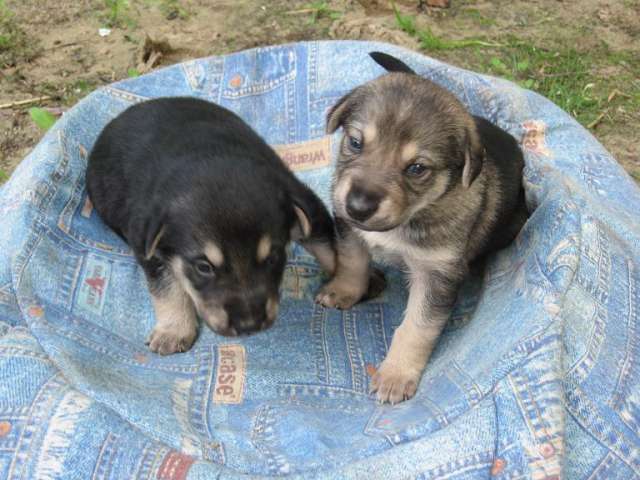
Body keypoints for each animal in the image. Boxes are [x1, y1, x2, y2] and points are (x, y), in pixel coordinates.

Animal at [88, 96, 338, 352]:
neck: (212, 161)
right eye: (203, 267)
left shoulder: (306, 204)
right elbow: (168, 287)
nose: (249, 325)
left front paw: (342, 286)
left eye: (272, 258)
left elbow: (328, 247)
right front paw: (173, 332)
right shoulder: (146, 242)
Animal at [316, 52, 528, 404]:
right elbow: (352, 263)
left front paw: (395, 376)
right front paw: (343, 290)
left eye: (417, 168)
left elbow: (417, 327)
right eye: (356, 143)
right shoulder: (349, 229)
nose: (358, 206)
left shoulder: (436, 273)